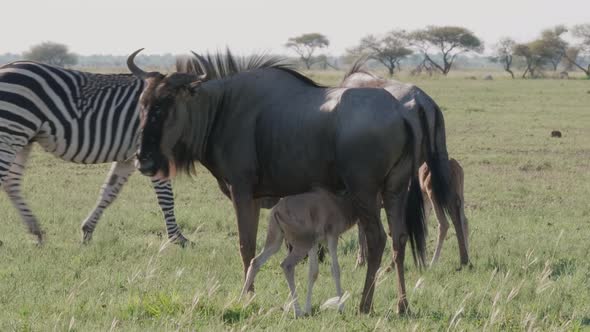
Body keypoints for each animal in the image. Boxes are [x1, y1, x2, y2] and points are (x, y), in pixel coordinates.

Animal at [0, 60, 190, 244]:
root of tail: (7, 66)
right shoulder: (150, 154)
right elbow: (166, 197)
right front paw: (178, 238)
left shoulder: (129, 158)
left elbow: (109, 191)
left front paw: (87, 232)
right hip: (11, 132)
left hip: (22, 138)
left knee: (11, 181)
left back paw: (36, 231)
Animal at [239, 188, 356, 318]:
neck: (337, 202)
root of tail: (279, 208)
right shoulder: (332, 237)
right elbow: (335, 269)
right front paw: (341, 308)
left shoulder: (315, 243)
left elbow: (313, 272)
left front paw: (308, 309)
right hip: (302, 245)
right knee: (287, 265)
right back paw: (298, 312)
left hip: (275, 242)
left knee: (256, 262)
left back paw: (241, 302)